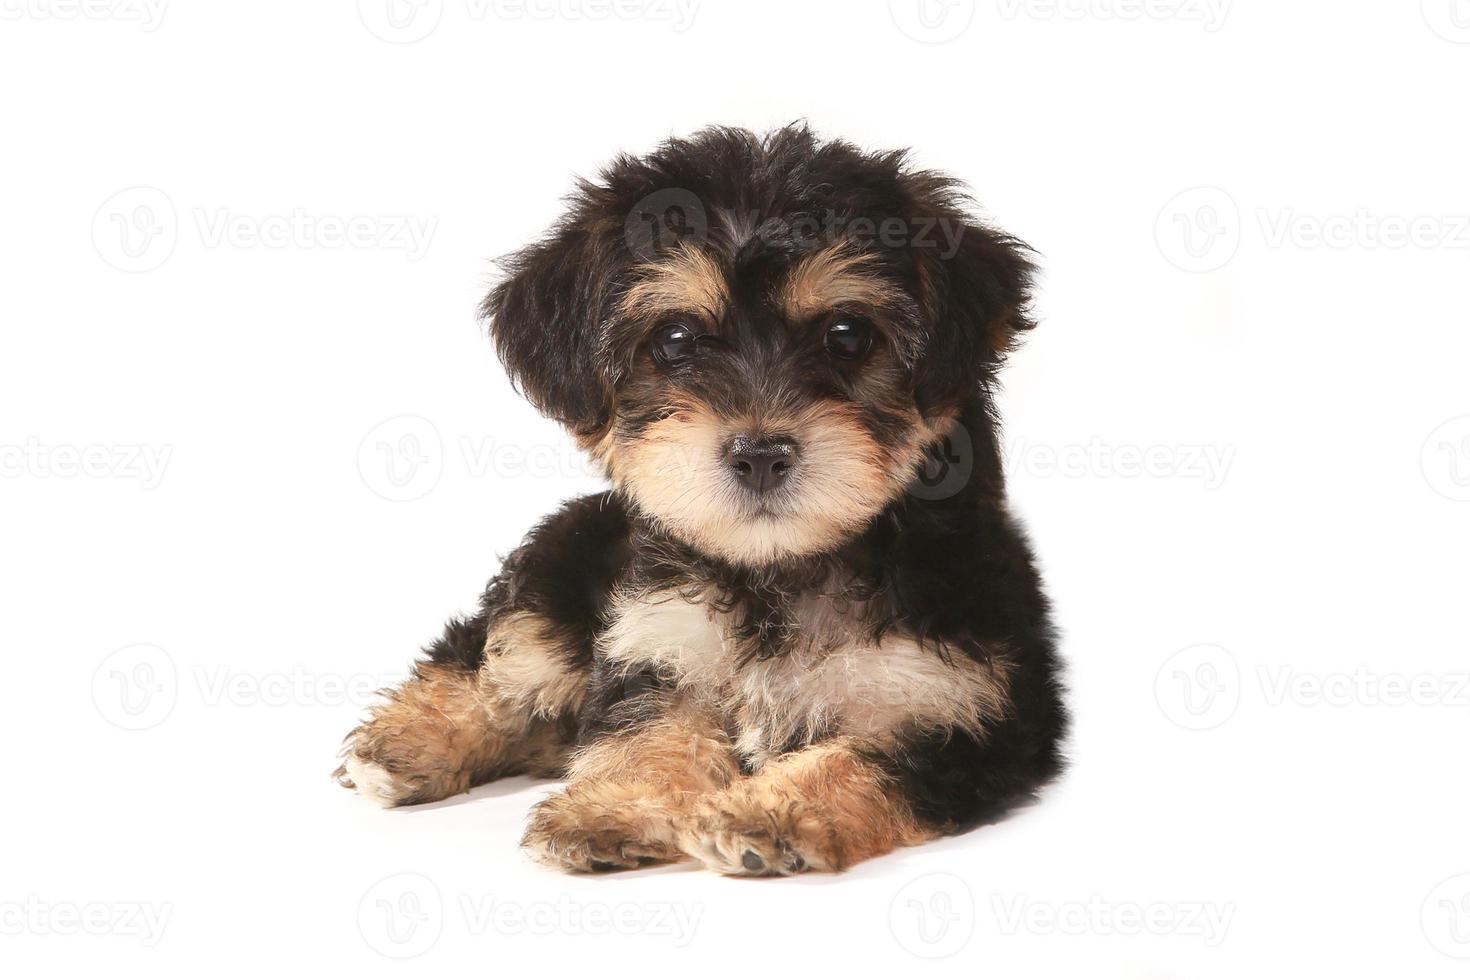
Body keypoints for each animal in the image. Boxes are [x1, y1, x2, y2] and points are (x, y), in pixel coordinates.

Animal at [335, 124, 1070, 881]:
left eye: (846, 335)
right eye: (676, 340)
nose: (759, 455)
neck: (780, 567)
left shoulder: (961, 705)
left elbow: (868, 755)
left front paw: (768, 812)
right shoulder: (656, 639)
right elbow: (645, 725)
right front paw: (615, 805)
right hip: (559, 564)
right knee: (505, 655)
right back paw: (409, 742)